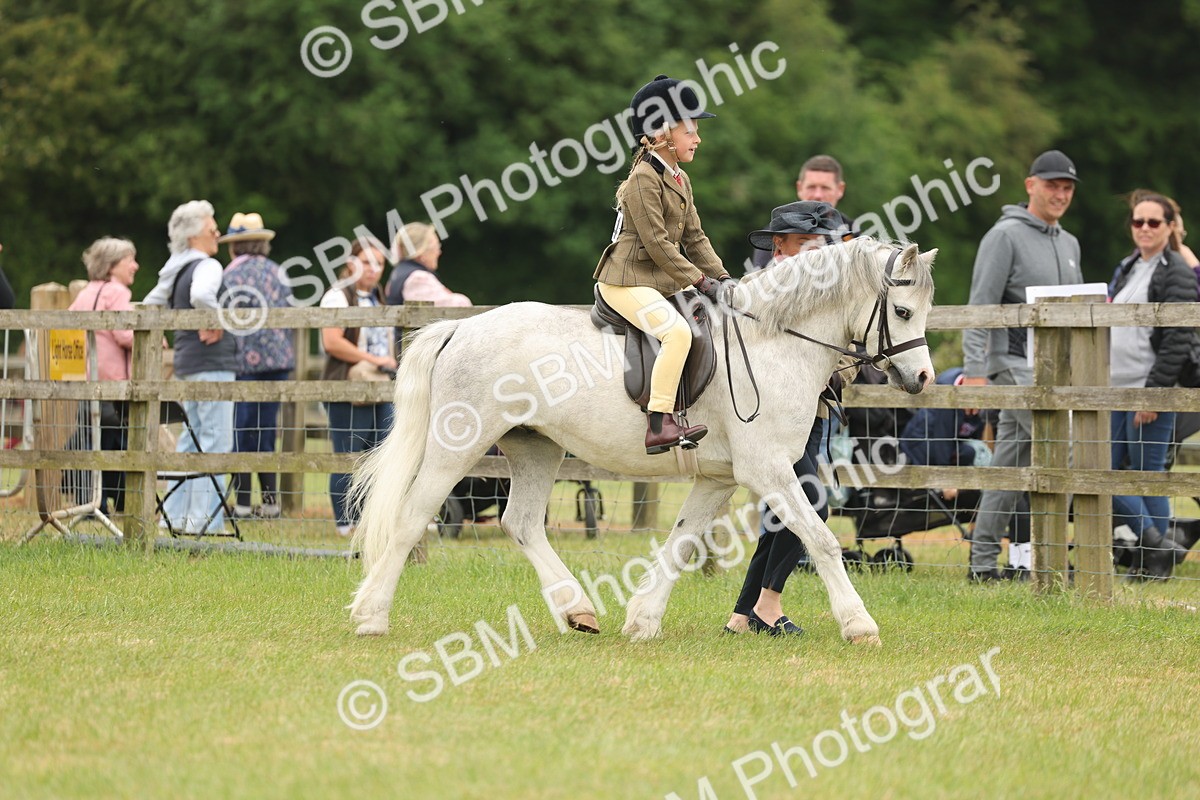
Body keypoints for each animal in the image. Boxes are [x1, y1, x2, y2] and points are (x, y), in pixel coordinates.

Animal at [347, 236, 937, 644]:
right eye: (903, 311)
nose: (924, 378)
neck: (771, 341)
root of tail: (461, 328)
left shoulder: (719, 478)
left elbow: (680, 542)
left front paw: (642, 619)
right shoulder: (768, 471)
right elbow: (822, 540)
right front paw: (859, 625)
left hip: (536, 446)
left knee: (521, 524)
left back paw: (578, 610)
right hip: (458, 447)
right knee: (412, 516)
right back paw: (371, 616)